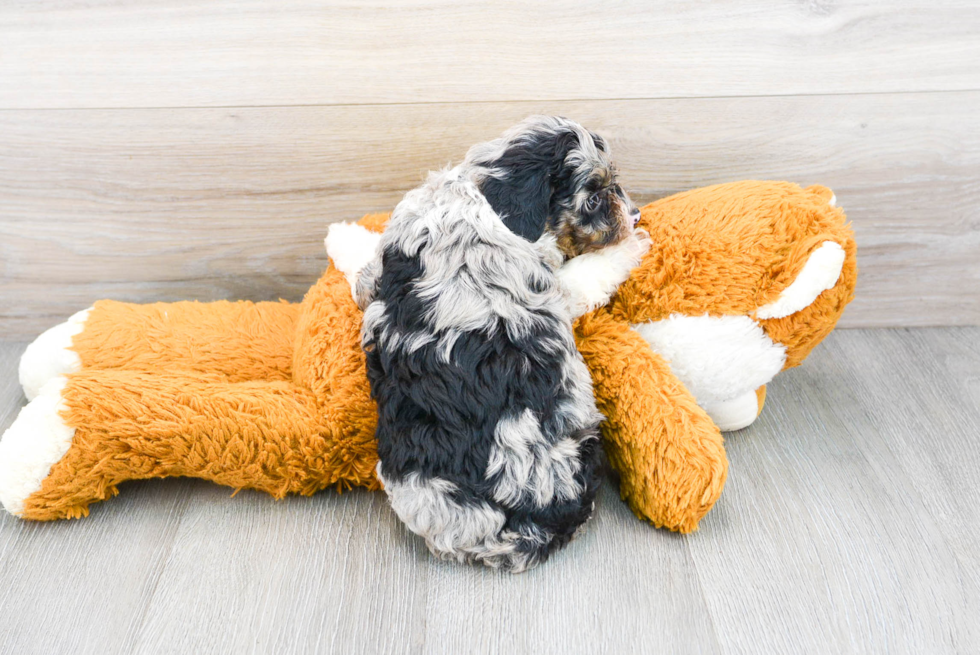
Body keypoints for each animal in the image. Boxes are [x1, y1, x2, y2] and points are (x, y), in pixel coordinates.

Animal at [332, 118, 652, 576]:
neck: (483, 197)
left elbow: (363, 277)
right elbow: (591, 272)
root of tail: (518, 522)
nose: (635, 213)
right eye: (593, 197)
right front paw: (633, 243)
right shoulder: (554, 286)